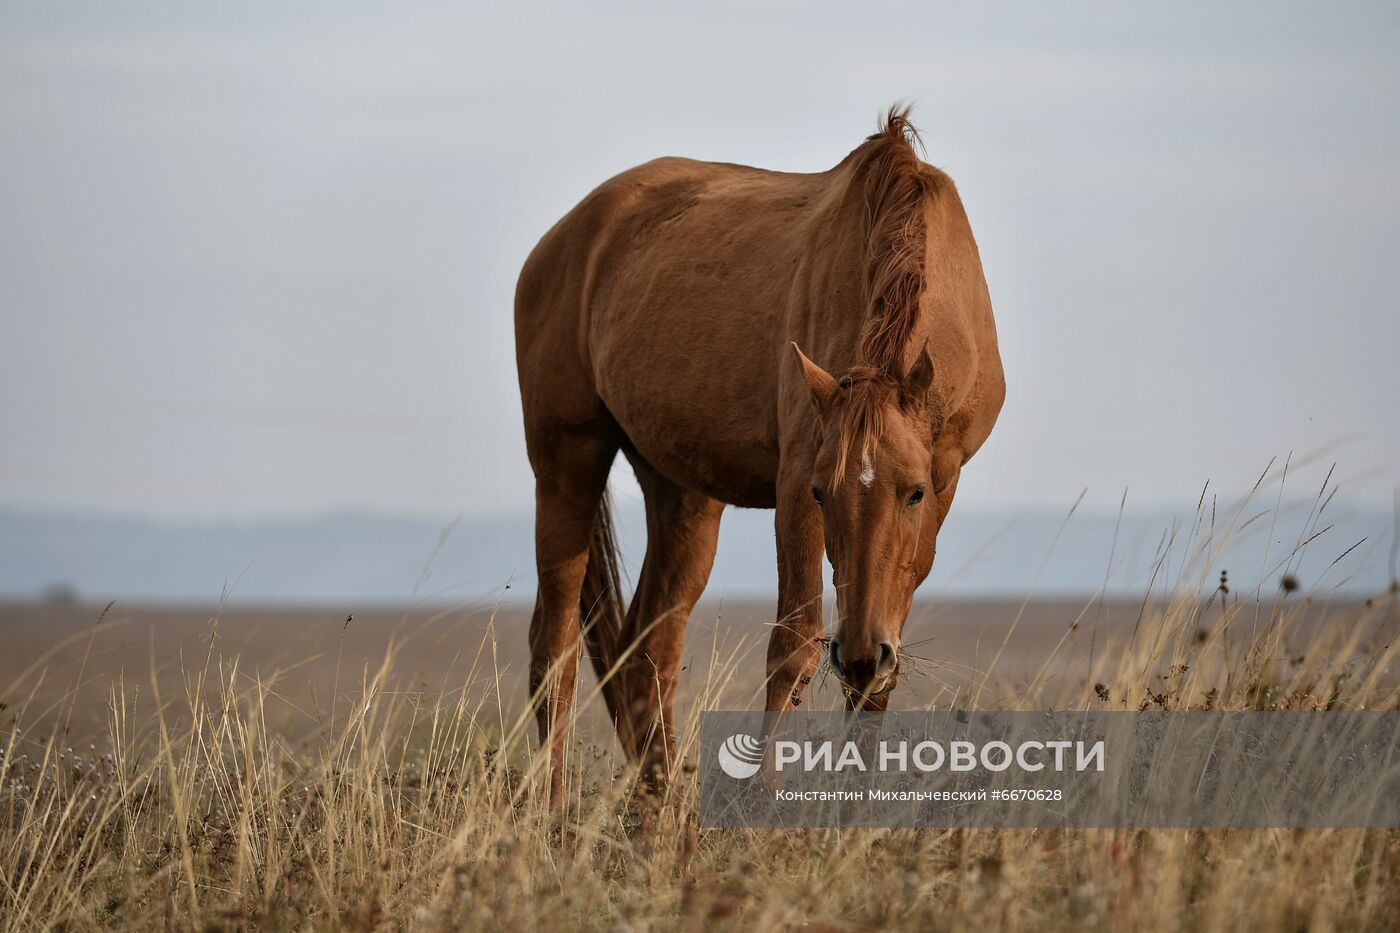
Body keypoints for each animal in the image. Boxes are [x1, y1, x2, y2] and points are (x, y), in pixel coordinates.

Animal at [520, 109, 1002, 790]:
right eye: (823, 494)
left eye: (912, 493)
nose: (859, 655)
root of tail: (566, 235)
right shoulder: (797, 478)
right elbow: (792, 647)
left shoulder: (943, 479)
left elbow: (877, 683)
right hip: (567, 462)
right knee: (555, 646)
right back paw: (555, 809)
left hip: (682, 495)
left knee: (648, 650)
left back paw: (663, 811)